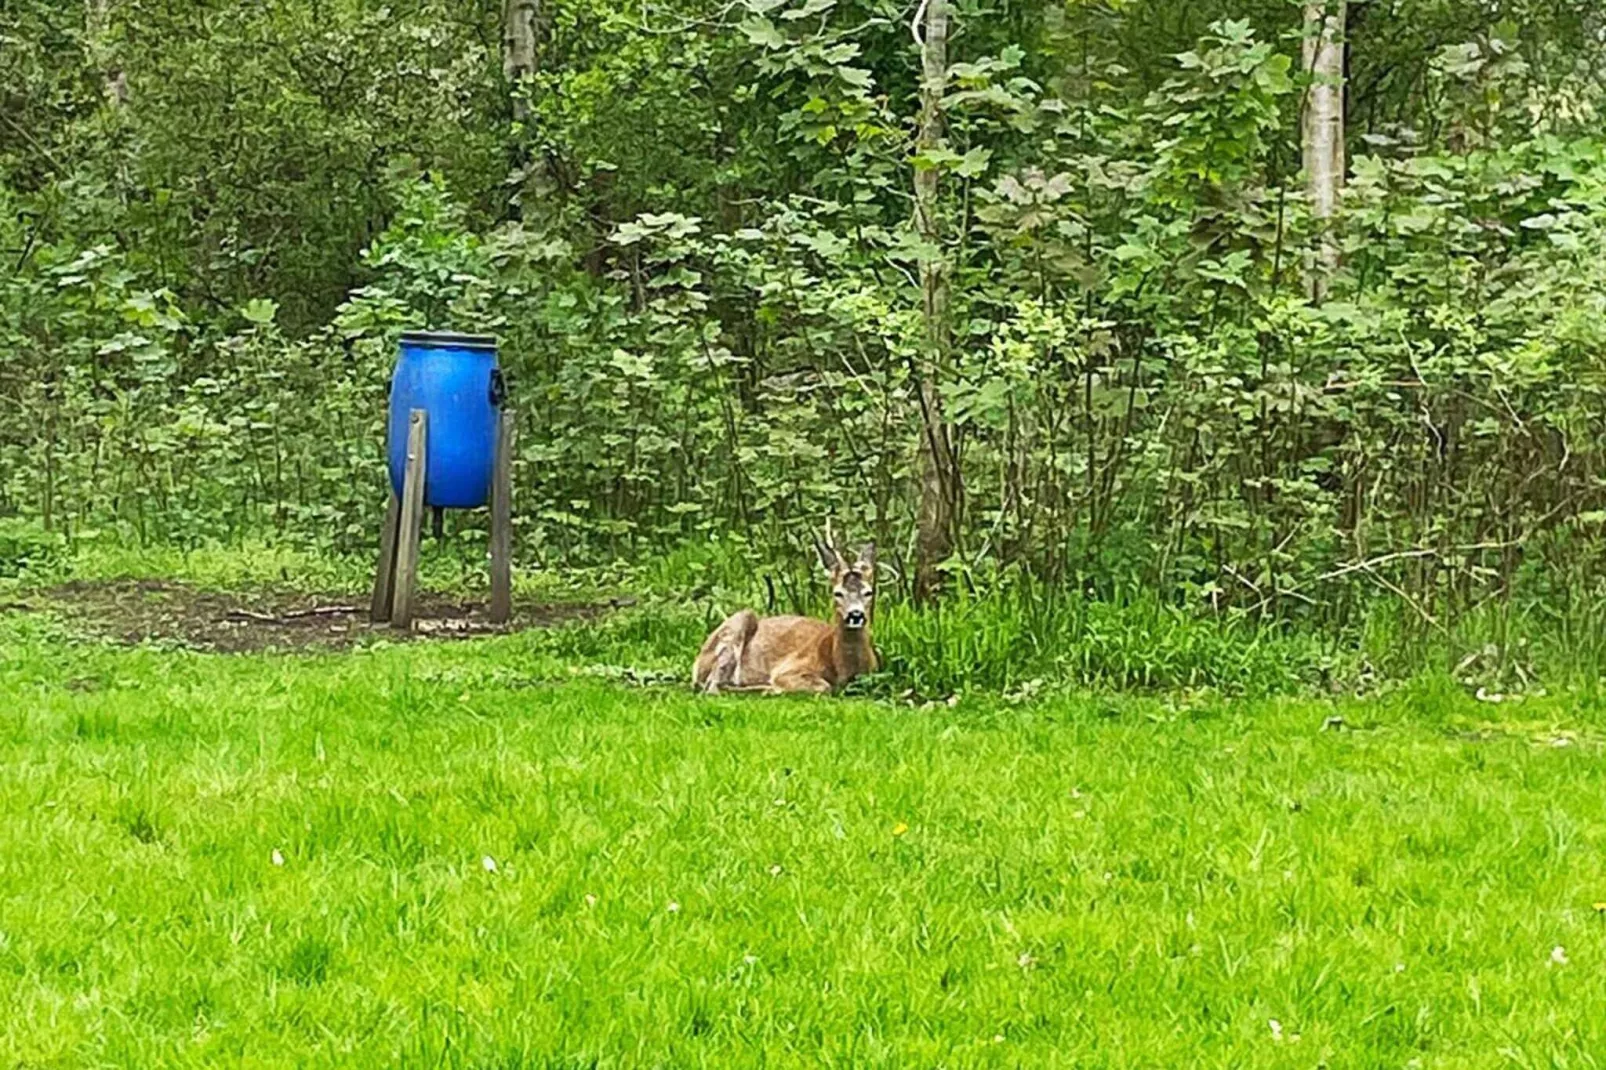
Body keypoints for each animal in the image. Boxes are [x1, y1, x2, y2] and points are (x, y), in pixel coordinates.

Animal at [693, 536, 880, 697]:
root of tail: (697, 661)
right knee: (712, 686)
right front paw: (775, 687)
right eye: (838, 593)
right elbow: (824, 687)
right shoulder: (788, 668)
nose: (855, 614)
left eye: (869, 592)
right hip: (739, 621)